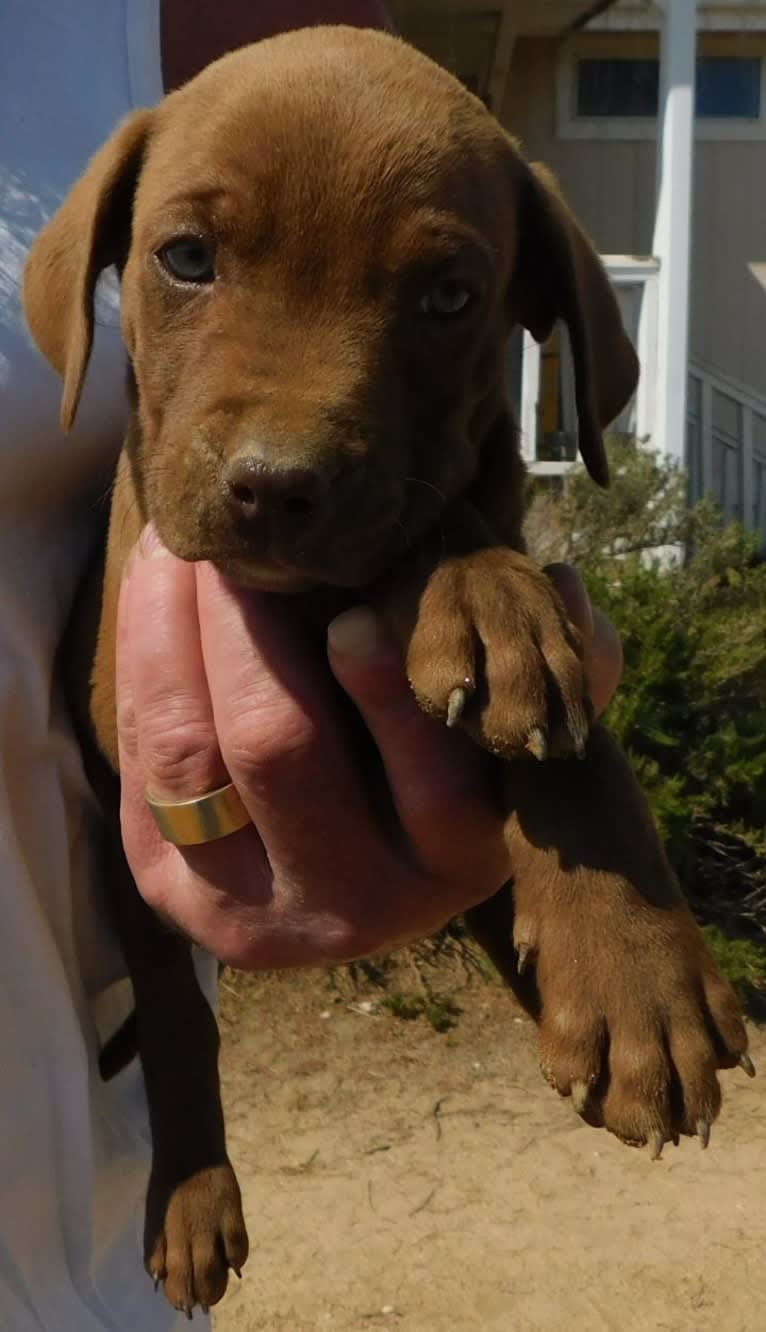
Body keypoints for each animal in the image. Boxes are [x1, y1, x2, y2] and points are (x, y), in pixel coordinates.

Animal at [22, 25, 751, 1316]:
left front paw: (635, 976)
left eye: (448, 297)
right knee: (172, 1005)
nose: (274, 484)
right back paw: (191, 1194)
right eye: (186, 258)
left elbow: (559, 710)